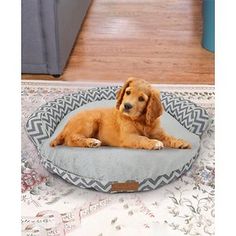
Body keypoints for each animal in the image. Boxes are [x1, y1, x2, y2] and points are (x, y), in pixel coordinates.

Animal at [50, 78, 191, 150]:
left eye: (142, 99)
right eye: (128, 92)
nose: (127, 106)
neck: (140, 120)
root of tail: (65, 126)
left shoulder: (158, 132)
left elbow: (168, 137)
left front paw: (180, 142)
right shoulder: (128, 136)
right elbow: (142, 138)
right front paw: (154, 143)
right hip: (90, 121)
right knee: (70, 139)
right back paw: (91, 142)